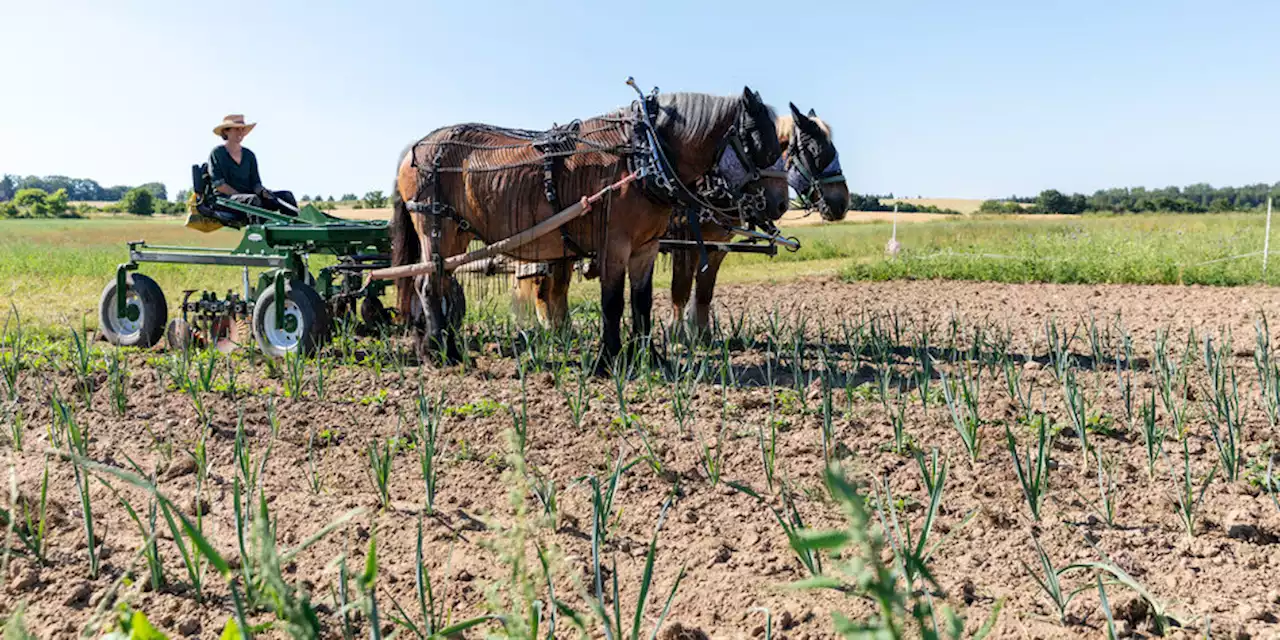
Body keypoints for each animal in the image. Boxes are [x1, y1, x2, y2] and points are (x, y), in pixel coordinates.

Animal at [386, 87, 788, 373]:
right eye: (761, 143)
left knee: (439, 285)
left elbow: (641, 301)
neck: (642, 157)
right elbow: (612, 303)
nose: (780, 204)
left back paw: (440, 347)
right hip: (437, 228)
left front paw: (649, 356)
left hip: (456, 235)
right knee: (429, 286)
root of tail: (413, 149)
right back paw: (442, 353)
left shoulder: (646, 247)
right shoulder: (614, 244)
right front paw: (608, 360)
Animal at [509, 101, 849, 335]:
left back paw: (562, 330)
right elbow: (681, 288)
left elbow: (705, 290)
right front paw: (677, 333)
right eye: (817, 151)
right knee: (544, 289)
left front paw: (702, 333)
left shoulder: (715, 246)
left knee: (555, 289)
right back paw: (553, 331)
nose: (841, 203)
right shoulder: (686, 241)